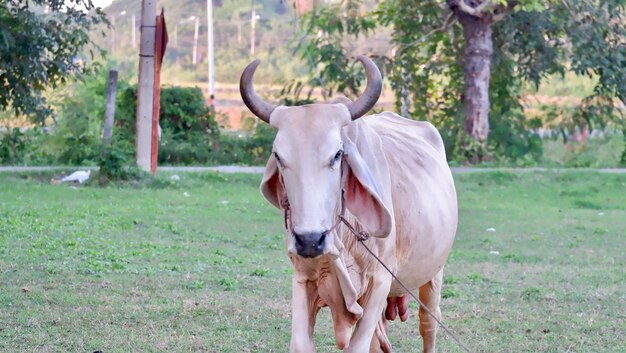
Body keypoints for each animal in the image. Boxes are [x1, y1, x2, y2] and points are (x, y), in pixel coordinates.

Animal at [241, 55, 456, 352]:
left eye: (337, 154)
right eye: (279, 156)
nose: (310, 240)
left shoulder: (380, 280)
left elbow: (358, 346)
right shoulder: (302, 276)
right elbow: (301, 343)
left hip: (434, 274)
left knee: (429, 325)